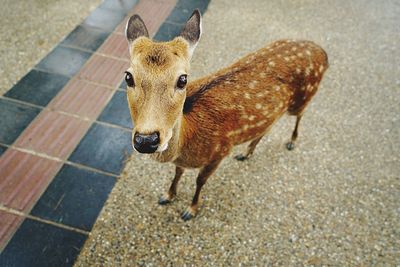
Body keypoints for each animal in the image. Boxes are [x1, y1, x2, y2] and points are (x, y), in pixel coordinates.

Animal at [124, 9, 328, 221]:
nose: (146, 140)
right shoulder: (184, 161)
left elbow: (200, 181)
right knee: (267, 127)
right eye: (128, 77)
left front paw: (191, 209)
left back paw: (291, 141)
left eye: (182, 79)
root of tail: (323, 52)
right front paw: (168, 195)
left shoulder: (221, 150)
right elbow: (178, 172)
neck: (188, 142)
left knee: (300, 114)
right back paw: (246, 153)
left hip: (303, 97)